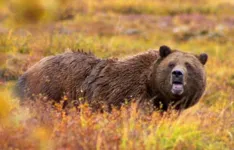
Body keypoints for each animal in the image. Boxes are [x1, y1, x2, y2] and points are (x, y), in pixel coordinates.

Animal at [15, 45, 208, 111]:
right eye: (171, 63)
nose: (177, 73)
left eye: (188, 65)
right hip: (49, 90)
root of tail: (28, 70)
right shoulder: (130, 95)